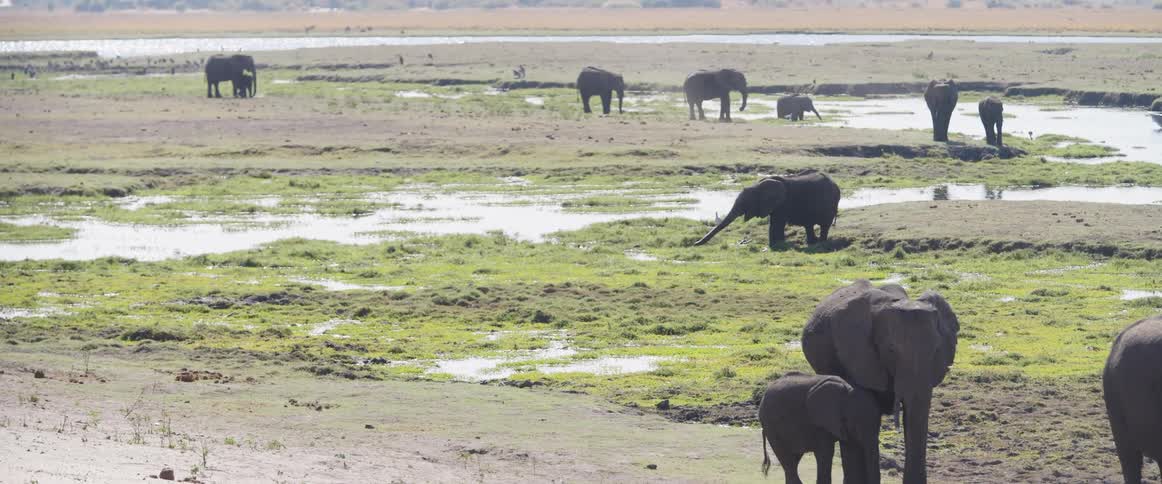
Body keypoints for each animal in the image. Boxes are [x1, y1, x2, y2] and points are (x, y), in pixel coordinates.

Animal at [693, 170, 840, 248]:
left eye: (745, 203)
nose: (695, 244)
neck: (758, 186)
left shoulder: (783, 203)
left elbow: (777, 223)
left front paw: (776, 246)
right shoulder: (774, 205)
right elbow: (773, 223)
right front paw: (774, 245)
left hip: (830, 204)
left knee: (824, 225)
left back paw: (820, 244)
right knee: (809, 225)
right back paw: (811, 243)